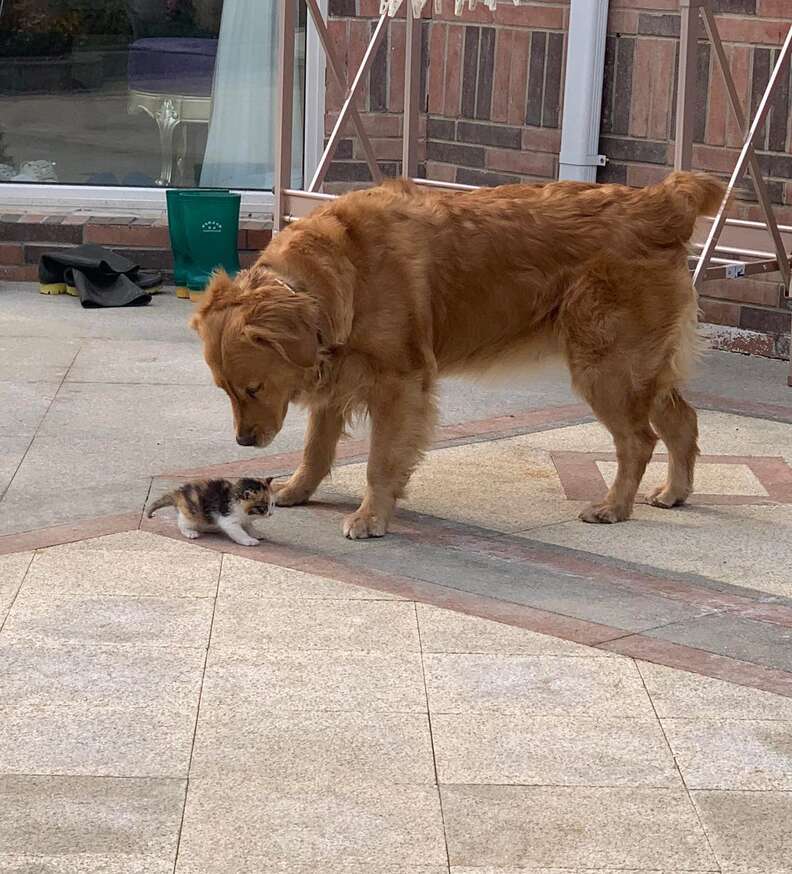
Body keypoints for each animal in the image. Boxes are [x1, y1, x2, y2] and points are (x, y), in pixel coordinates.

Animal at [190, 169, 724, 540]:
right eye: (224, 390)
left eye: (253, 388)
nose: (243, 442)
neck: (338, 276)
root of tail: (661, 199)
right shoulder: (338, 374)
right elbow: (317, 448)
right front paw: (298, 490)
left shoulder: (399, 383)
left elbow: (380, 461)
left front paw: (371, 516)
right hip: (642, 367)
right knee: (682, 421)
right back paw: (674, 493)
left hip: (607, 366)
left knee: (639, 440)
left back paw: (613, 507)